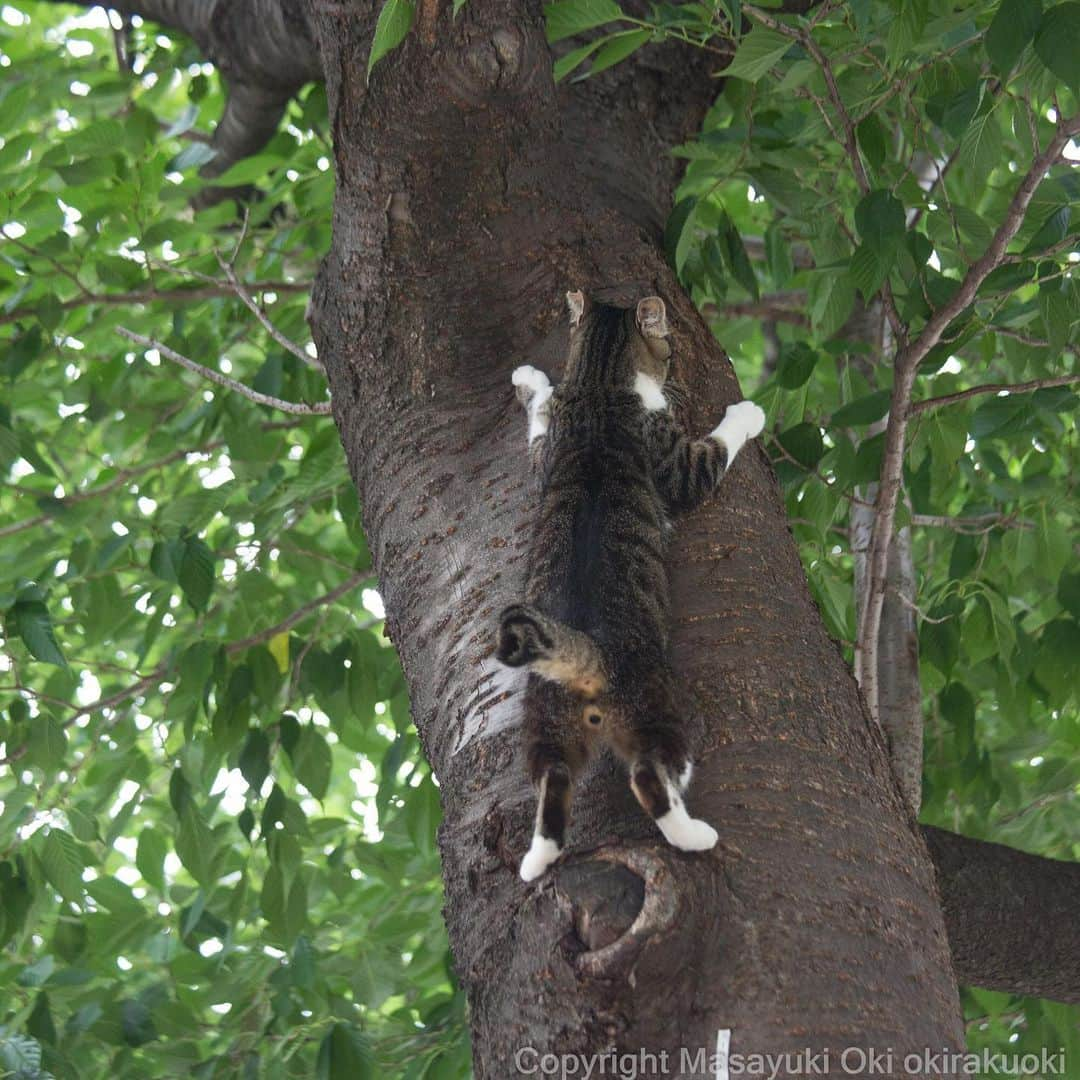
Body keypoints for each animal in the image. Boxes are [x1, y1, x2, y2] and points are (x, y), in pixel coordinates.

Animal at [496, 291, 768, 881]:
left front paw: (530, 379)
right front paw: (746, 414)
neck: (599, 385)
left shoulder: (545, 453)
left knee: (552, 784)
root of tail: (586, 654)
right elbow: (712, 449)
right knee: (650, 776)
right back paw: (695, 836)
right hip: (656, 709)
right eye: (668, 346)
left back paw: (534, 862)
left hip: (545, 725)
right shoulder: (676, 462)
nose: (675, 357)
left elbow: (539, 421)